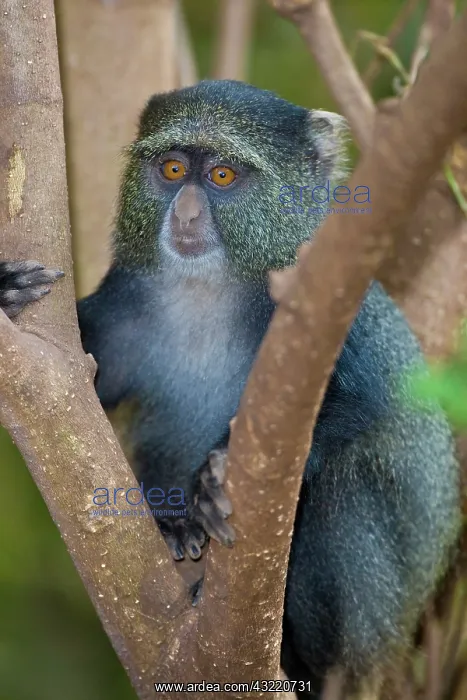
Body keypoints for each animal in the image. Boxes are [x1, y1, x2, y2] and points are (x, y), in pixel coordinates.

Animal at [0, 80, 460, 697]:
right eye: (172, 169)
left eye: (222, 176)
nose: (186, 212)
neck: (210, 292)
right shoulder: (126, 300)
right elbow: (84, 387)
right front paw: (7, 288)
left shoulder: (334, 310)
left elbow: (368, 403)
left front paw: (216, 474)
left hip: (370, 616)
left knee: (346, 480)